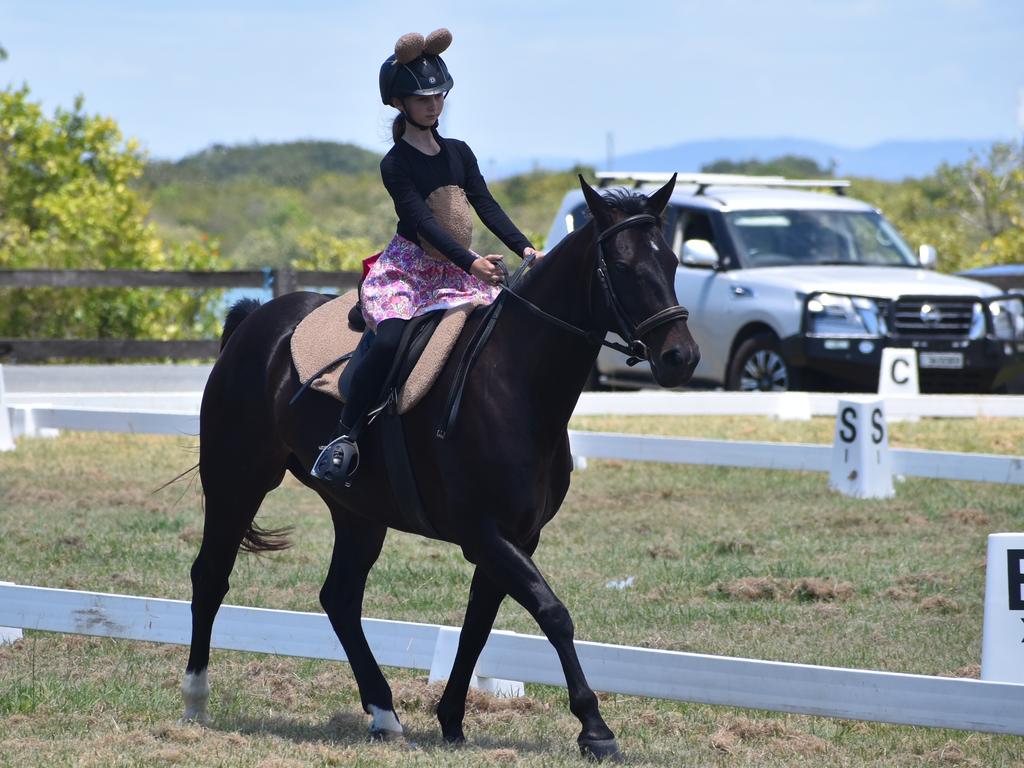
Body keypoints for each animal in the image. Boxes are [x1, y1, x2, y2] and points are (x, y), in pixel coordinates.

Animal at [180, 173, 700, 757]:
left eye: (672, 262)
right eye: (626, 266)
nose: (681, 357)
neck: (514, 381)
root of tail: (256, 320)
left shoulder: (517, 537)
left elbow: (478, 624)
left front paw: (451, 718)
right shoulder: (484, 533)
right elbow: (553, 613)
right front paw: (594, 728)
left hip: (358, 511)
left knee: (340, 598)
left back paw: (384, 713)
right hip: (236, 479)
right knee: (211, 576)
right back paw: (196, 700)